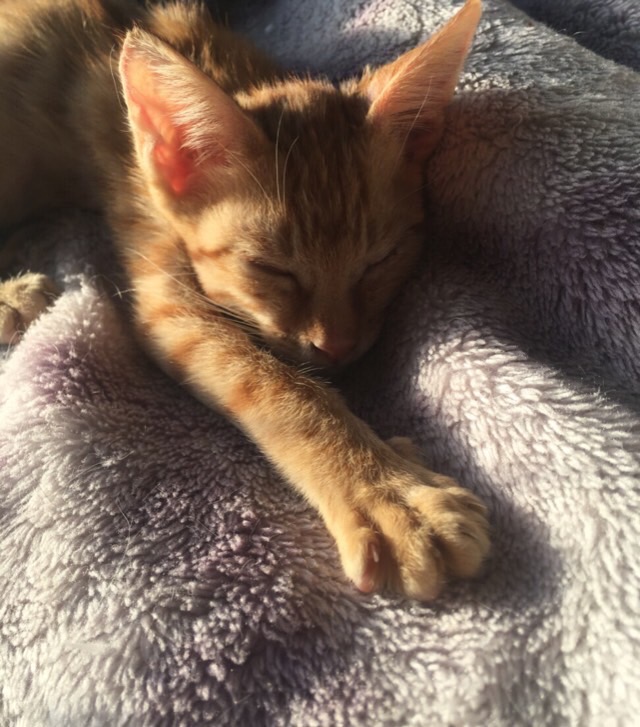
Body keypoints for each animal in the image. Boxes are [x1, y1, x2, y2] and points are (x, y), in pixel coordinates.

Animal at [0, 0, 489, 600]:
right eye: (271, 269)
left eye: (381, 259)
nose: (338, 346)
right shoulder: (164, 284)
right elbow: (278, 385)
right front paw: (390, 496)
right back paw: (14, 297)